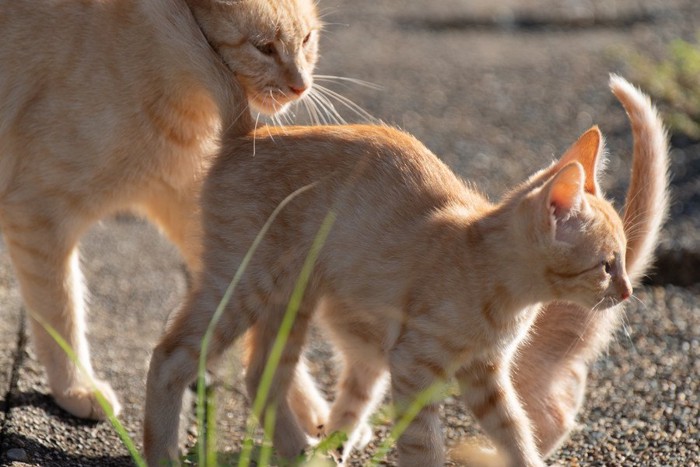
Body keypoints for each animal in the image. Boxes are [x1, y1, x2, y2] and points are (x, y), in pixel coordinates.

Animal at [0, 0, 320, 420]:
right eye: (264, 47)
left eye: (307, 39)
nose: (301, 86)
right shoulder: (37, 211)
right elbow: (61, 310)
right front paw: (76, 387)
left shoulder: (208, 216)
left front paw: (308, 407)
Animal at [145, 81, 644, 464]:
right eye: (607, 265)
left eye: (621, 259)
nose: (627, 292)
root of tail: (250, 132)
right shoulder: (411, 365)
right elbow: (424, 445)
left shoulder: (486, 378)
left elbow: (516, 432)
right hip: (246, 283)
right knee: (170, 354)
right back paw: (160, 451)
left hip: (291, 298)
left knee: (261, 374)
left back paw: (300, 451)